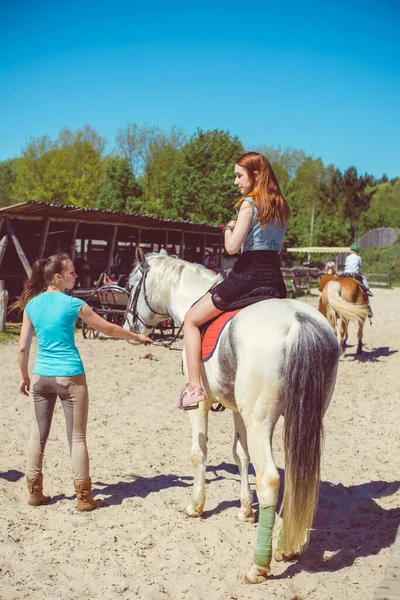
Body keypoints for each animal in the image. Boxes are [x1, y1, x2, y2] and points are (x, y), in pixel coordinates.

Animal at [126, 250, 340, 584]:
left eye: (130, 283)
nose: (129, 324)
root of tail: (298, 321)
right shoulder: (239, 411)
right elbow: (241, 455)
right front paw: (245, 510)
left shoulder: (201, 405)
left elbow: (198, 452)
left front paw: (196, 505)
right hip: (301, 417)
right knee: (297, 474)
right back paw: (287, 546)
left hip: (261, 421)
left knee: (270, 478)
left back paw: (259, 565)